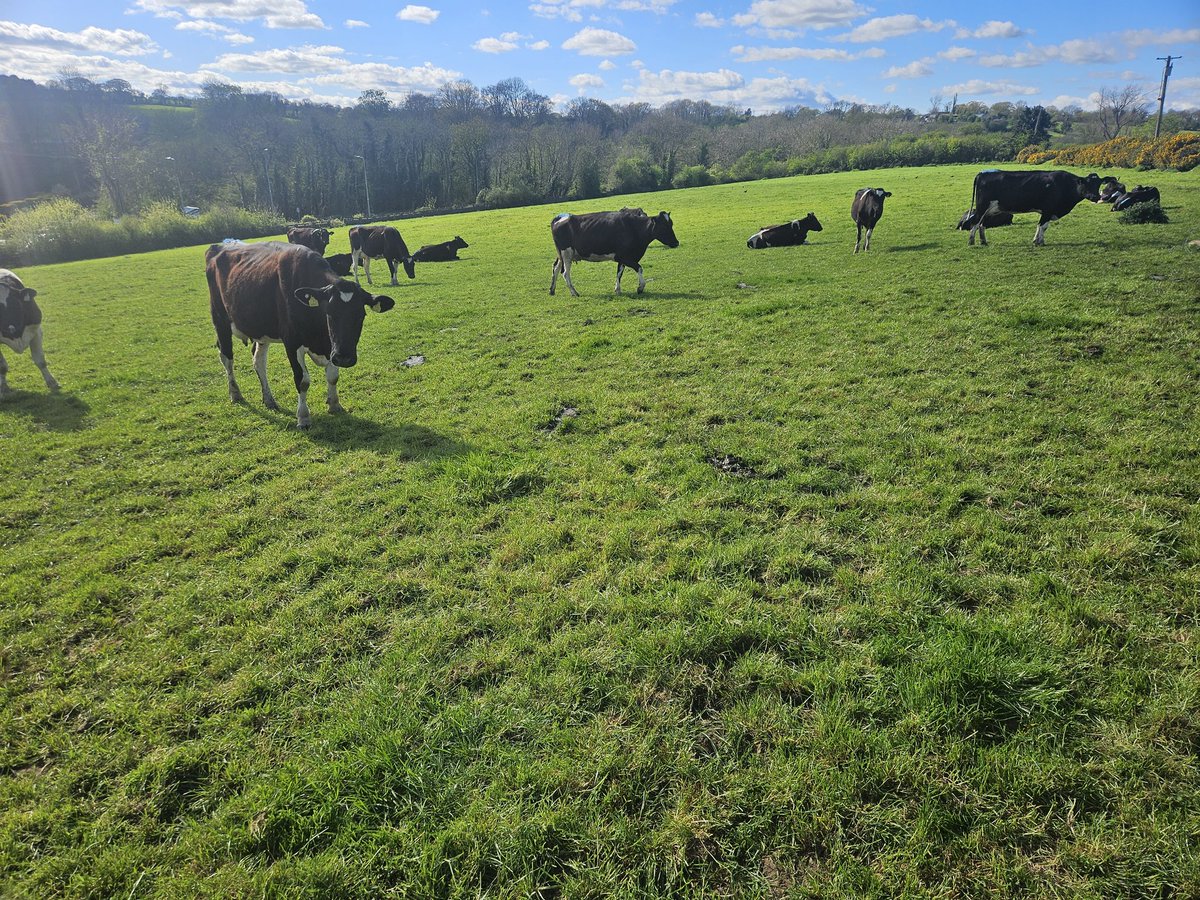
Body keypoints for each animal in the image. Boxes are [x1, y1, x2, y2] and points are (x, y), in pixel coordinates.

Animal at [205, 241, 394, 429]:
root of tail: (218, 246)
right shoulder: (292, 342)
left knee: (258, 361)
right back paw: (235, 393)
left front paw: (335, 404)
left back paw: (269, 400)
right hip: (220, 320)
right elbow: (302, 380)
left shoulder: (331, 346)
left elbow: (333, 376)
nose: (344, 358)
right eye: (329, 313)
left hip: (261, 329)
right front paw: (303, 417)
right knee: (227, 358)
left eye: (361, 315)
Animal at [549, 209, 679, 297]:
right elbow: (639, 268)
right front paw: (640, 288)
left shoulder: (623, 258)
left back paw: (552, 290)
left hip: (562, 254)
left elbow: (619, 273)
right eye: (664, 226)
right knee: (565, 273)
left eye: (671, 224)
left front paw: (617, 289)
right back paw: (574, 292)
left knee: (556, 267)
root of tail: (561, 217)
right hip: (566, 253)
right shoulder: (624, 257)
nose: (676, 243)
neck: (634, 228)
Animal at [965, 169, 1101, 246]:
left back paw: (983, 241)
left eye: (1099, 184)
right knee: (975, 222)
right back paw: (971, 241)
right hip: (982, 207)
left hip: (988, 210)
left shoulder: (1048, 212)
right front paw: (1038, 242)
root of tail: (983, 174)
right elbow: (1042, 226)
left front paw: (1040, 241)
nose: (1096, 197)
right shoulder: (1048, 210)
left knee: (982, 224)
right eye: (1087, 184)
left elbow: (1042, 227)